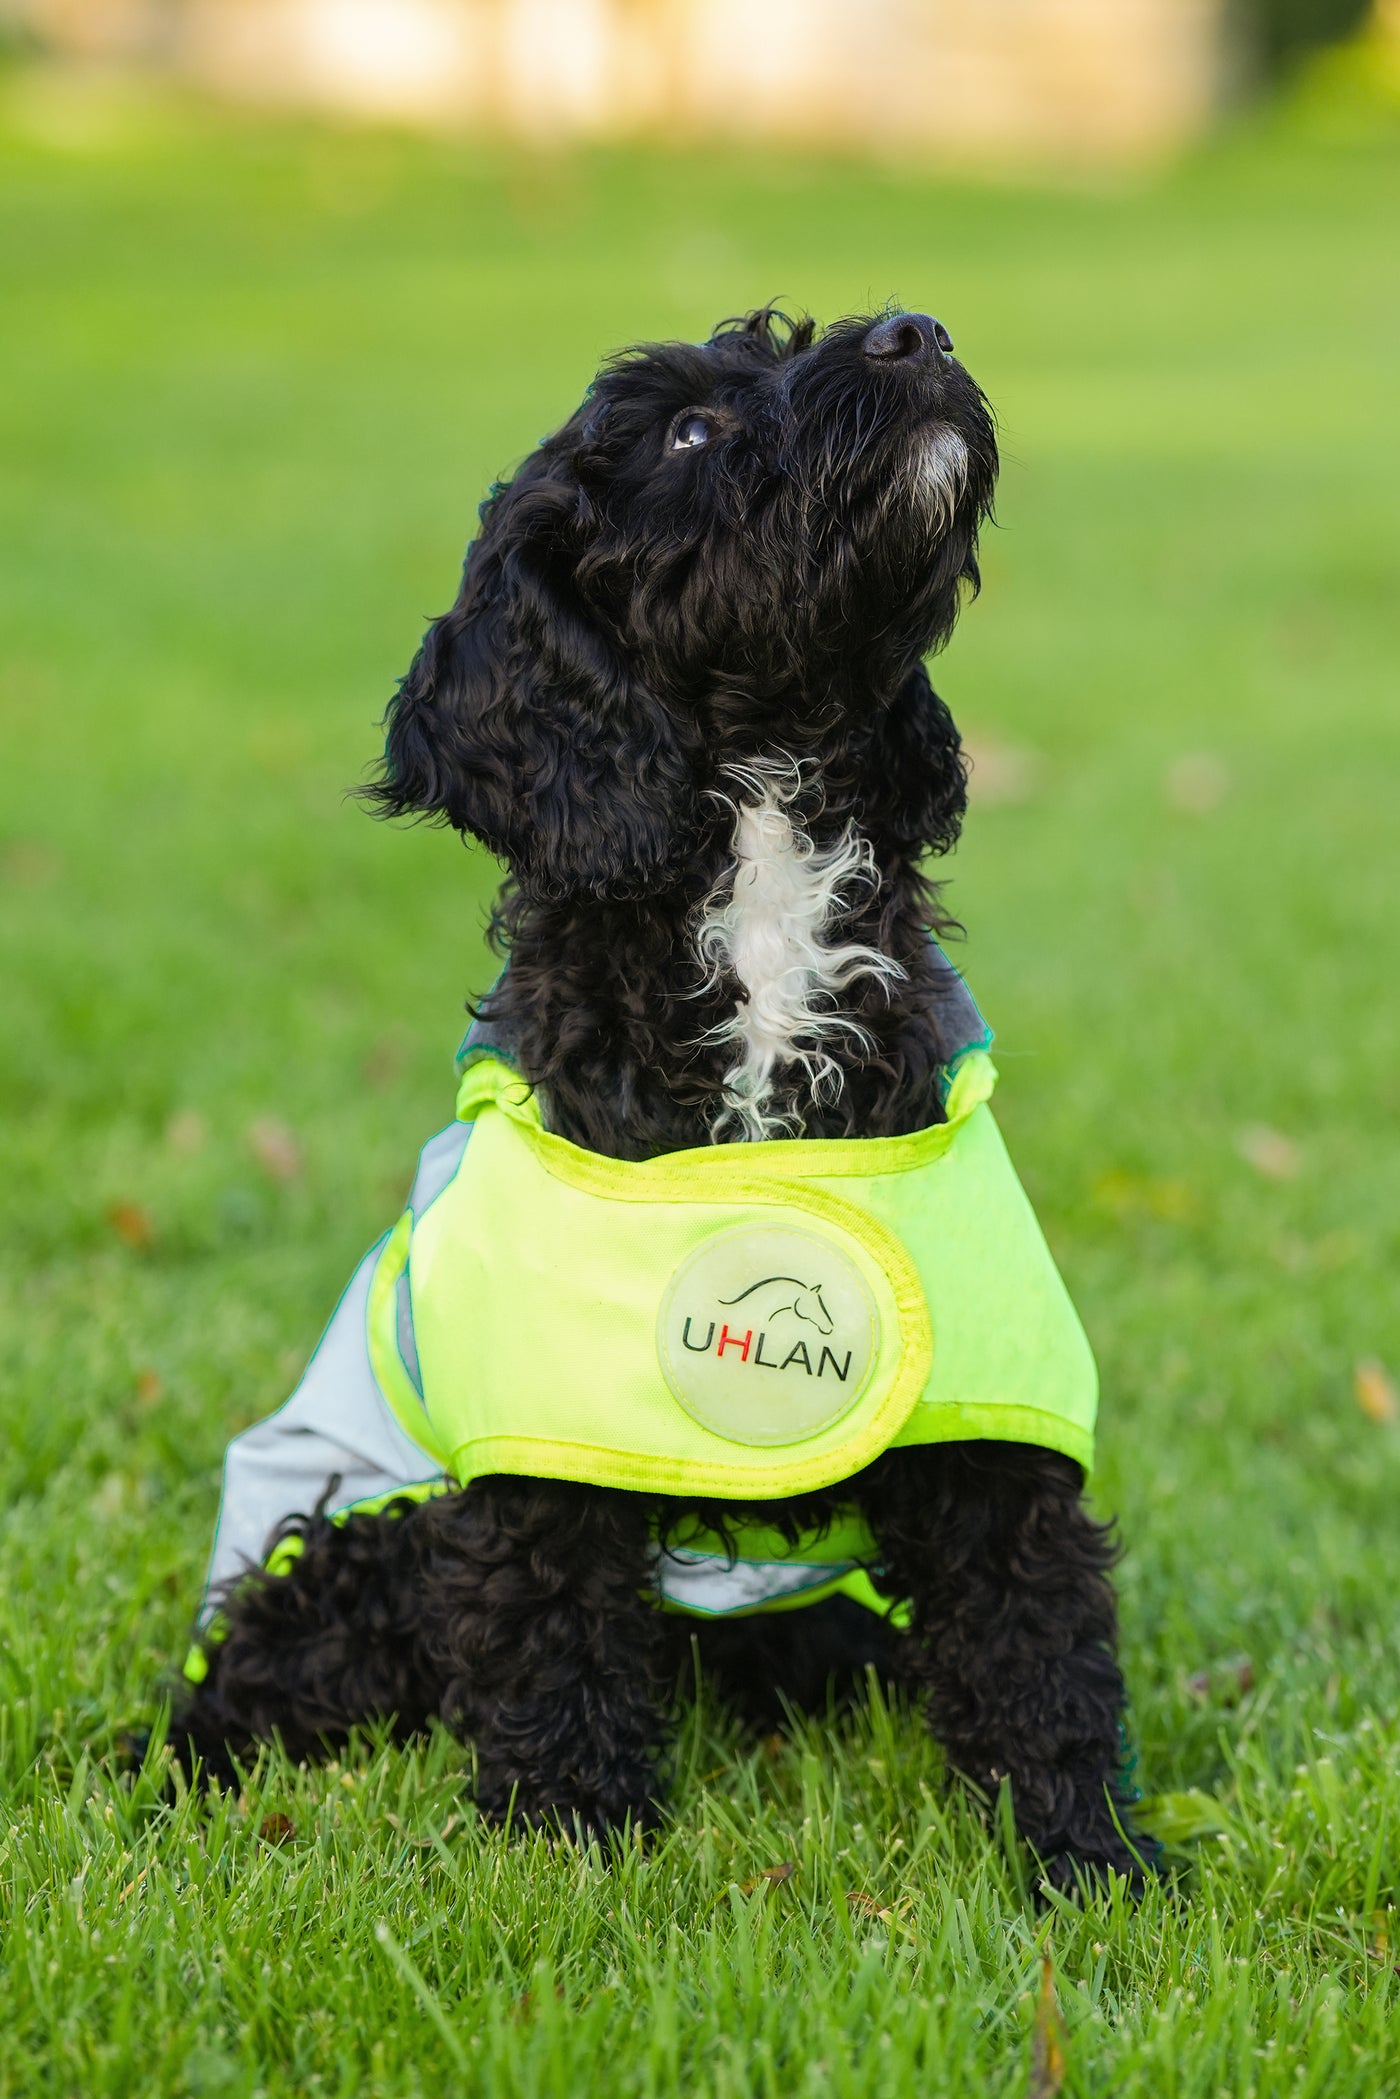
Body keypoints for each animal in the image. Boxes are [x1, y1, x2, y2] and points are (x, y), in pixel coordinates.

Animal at [180, 306, 1150, 1889]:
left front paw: (1089, 1858)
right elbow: (545, 1629)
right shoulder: (533, 1424)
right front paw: (576, 1850)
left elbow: (1036, 1629)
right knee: (254, 1663)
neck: (758, 862)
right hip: (355, 1534)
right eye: (689, 430)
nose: (916, 331)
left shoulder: (988, 1400)